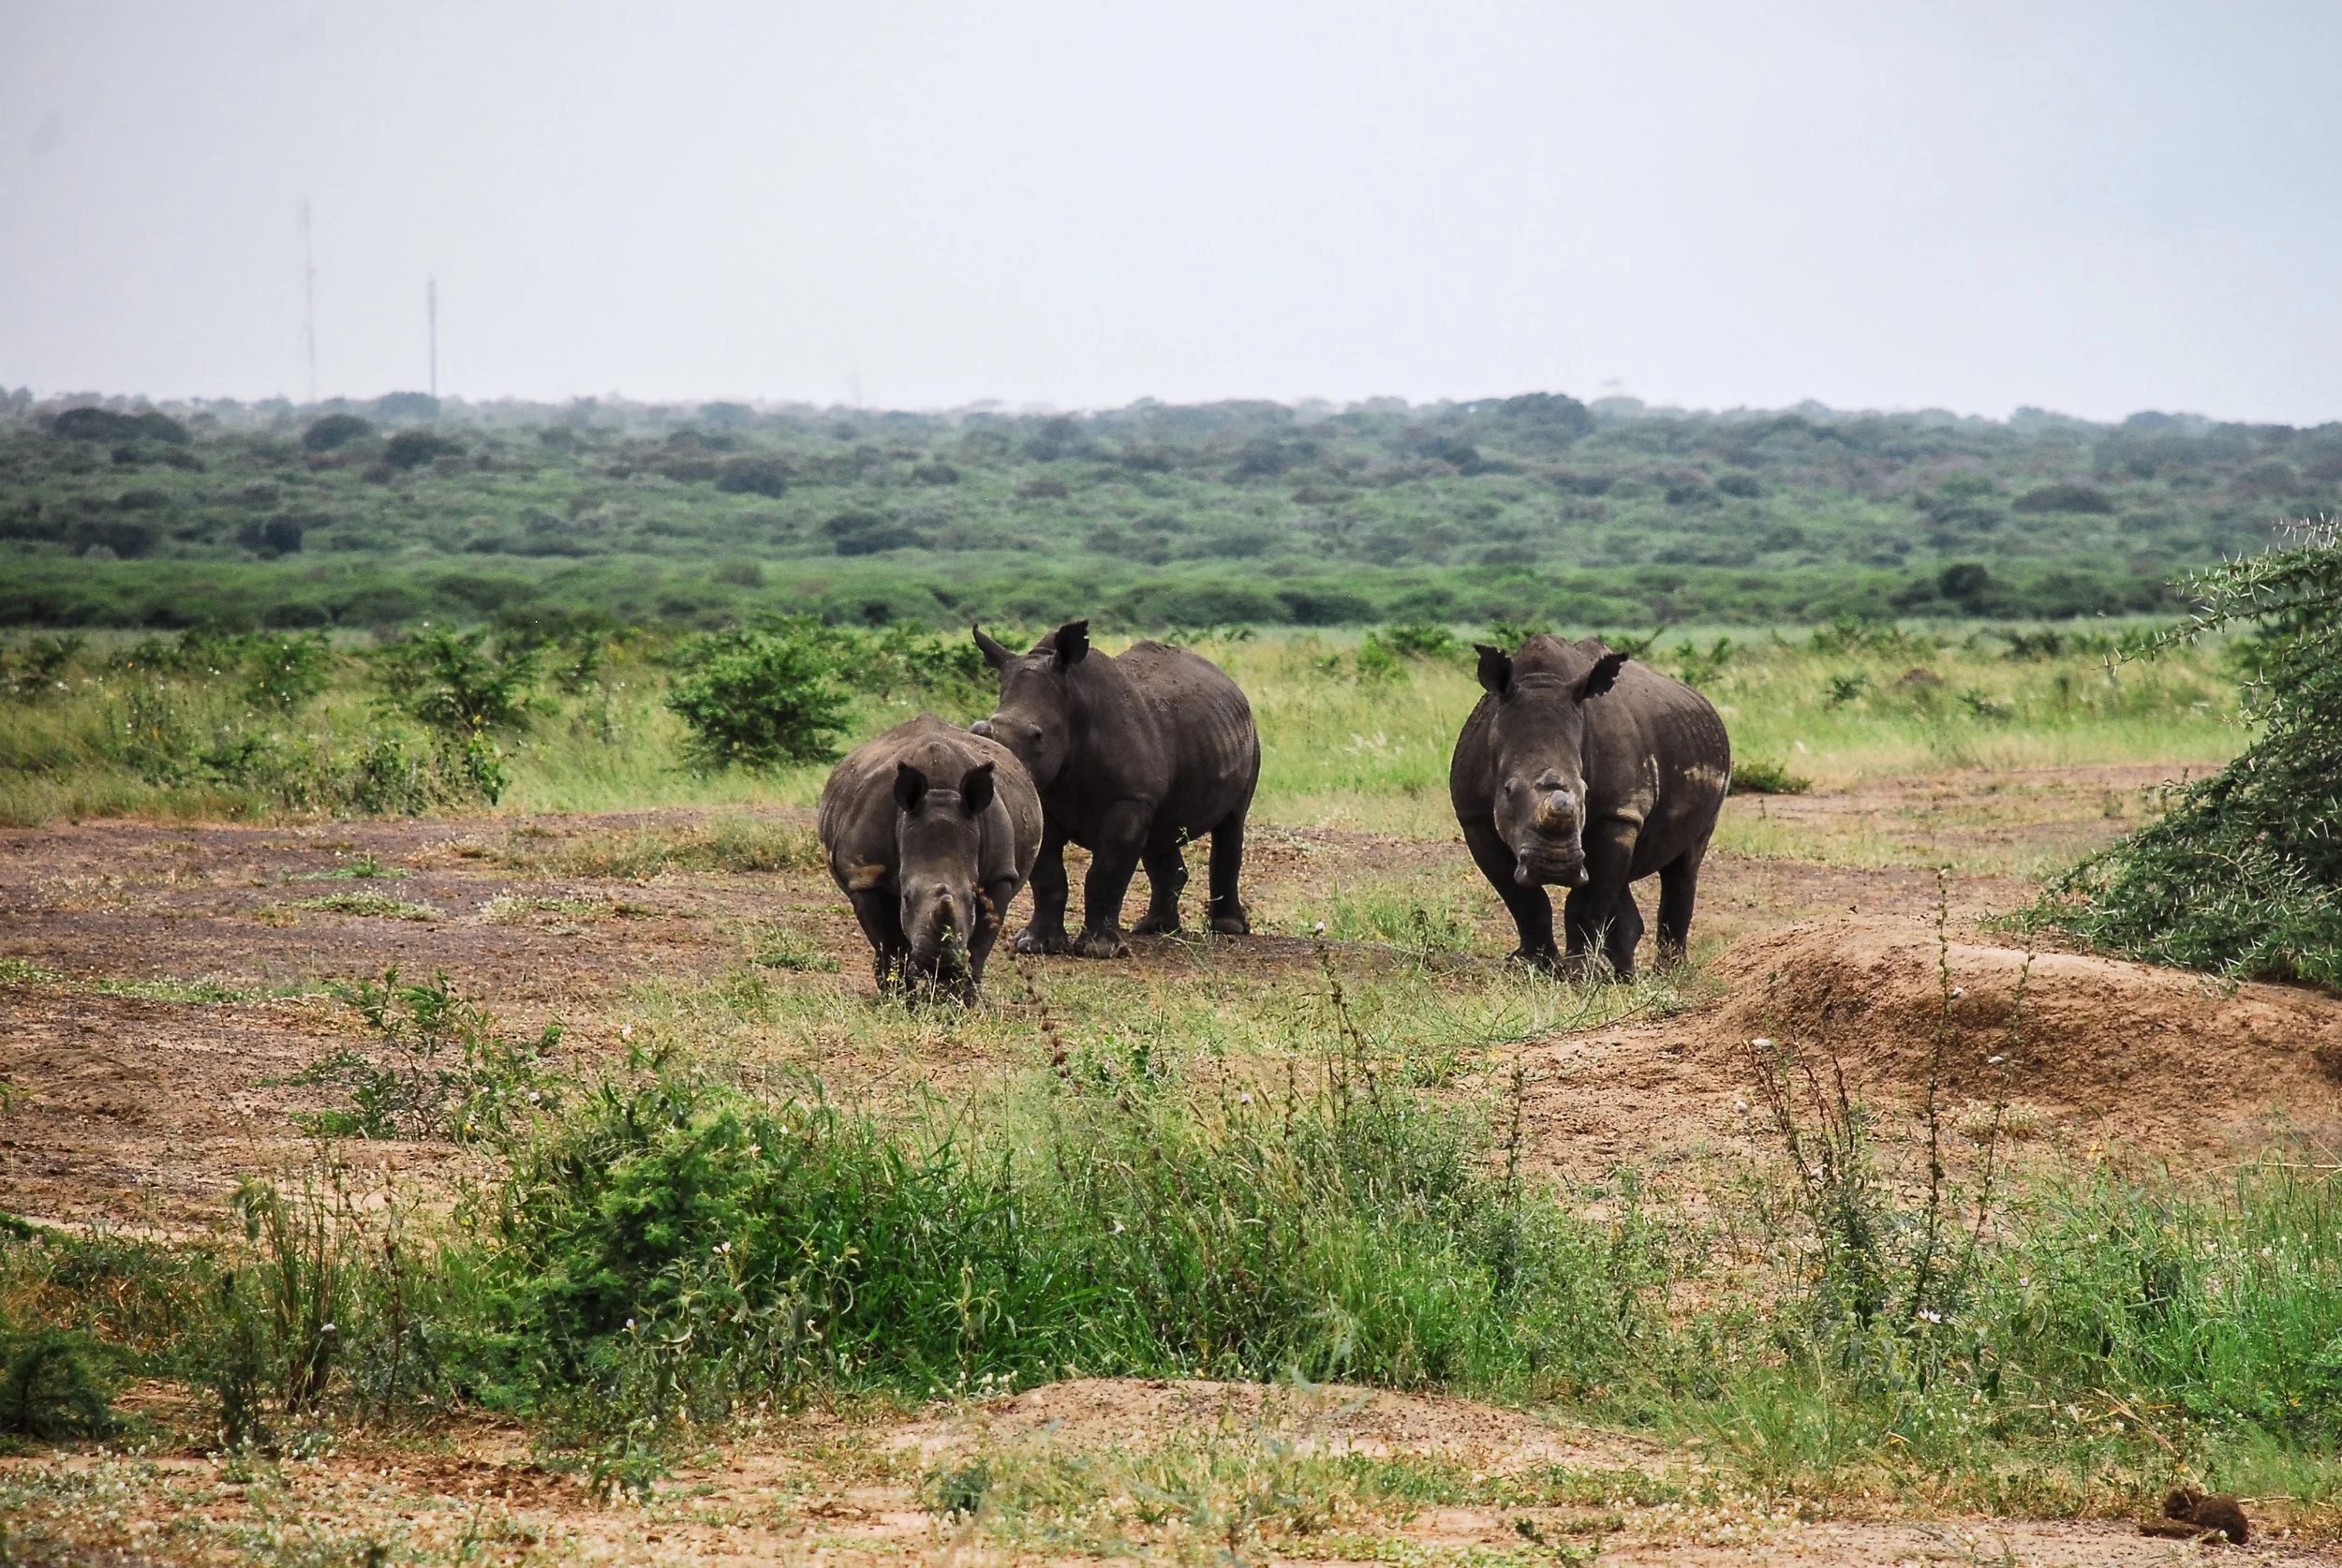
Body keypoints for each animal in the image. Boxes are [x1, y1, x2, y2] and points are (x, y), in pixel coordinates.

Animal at [817, 714, 1043, 998]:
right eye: (906, 897)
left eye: (972, 898)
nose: (940, 966)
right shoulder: (866, 875)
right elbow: (889, 943)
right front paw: (901, 999)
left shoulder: (999, 875)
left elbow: (980, 946)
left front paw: (963, 999)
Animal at [970, 620, 1260, 957]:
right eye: (979, 731)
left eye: (1037, 736)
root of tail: (1230, 683)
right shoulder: (1044, 797)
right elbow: (1048, 875)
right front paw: (1036, 945)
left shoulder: (1130, 800)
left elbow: (1106, 873)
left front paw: (1099, 951)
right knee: (1163, 832)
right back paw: (1154, 928)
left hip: (1250, 737)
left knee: (1232, 823)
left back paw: (1229, 928)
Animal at [1449, 635, 1730, 980]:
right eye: (1508, 790)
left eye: (1584, 790)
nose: (1555, 866)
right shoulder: (1474, 818)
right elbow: (1524, 900)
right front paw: (1530, 965)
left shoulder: (1617, 812)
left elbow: (1588, 898)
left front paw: (1582, 972)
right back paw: (1622, 976)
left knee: (1685, 864)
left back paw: (1668, 973)